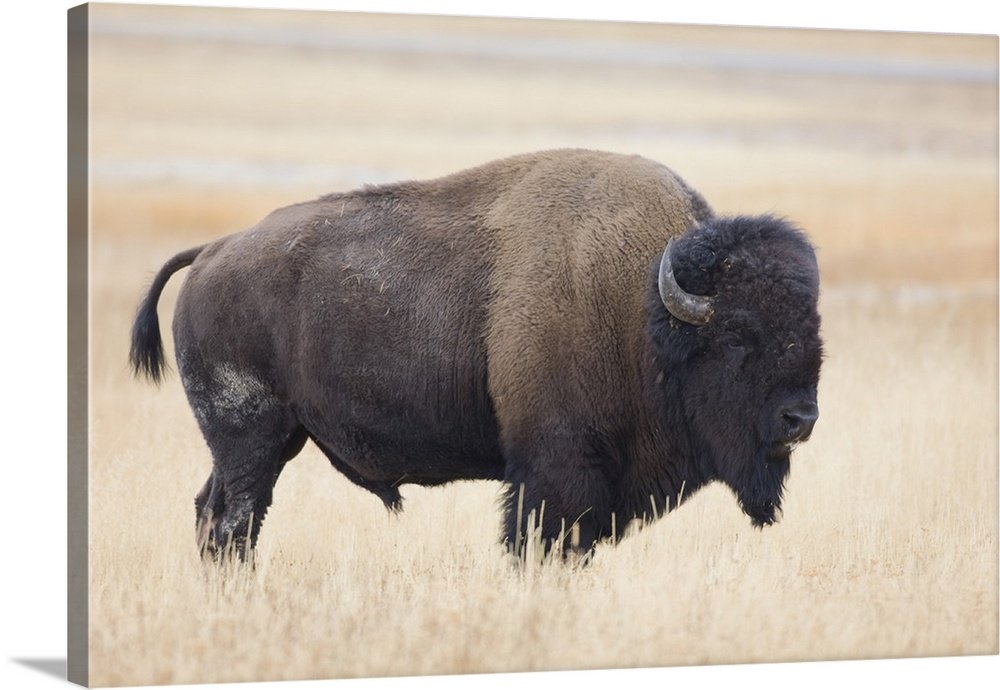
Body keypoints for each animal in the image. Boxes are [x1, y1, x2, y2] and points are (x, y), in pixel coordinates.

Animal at [130, 149, 822, 562]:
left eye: (813, 329)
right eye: (738, 335)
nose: (801, 419)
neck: (644, 306)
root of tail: (213, 251)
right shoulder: (555, 471)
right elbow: (537, 541)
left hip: (262, 442)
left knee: (211, 512)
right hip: (250, 437)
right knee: (234, 521)